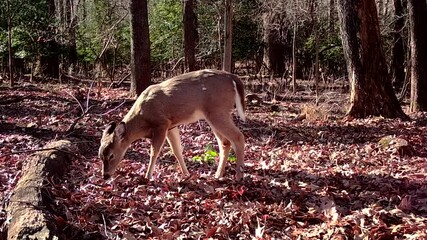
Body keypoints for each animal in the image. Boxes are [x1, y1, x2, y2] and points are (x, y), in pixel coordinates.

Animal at [99, 69, 246, 182]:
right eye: (100, 156)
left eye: (111, 155)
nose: (105, 176)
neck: (142, 120)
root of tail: (232, 78)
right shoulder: (171, 126)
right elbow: (177, 151)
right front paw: (186, 174)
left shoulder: (161, 123)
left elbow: (154, 151)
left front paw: (147, 176)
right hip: (214, 115)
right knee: (225, 142)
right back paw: (218, 175)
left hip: (218, 111)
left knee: (238, 137)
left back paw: (239, 176)